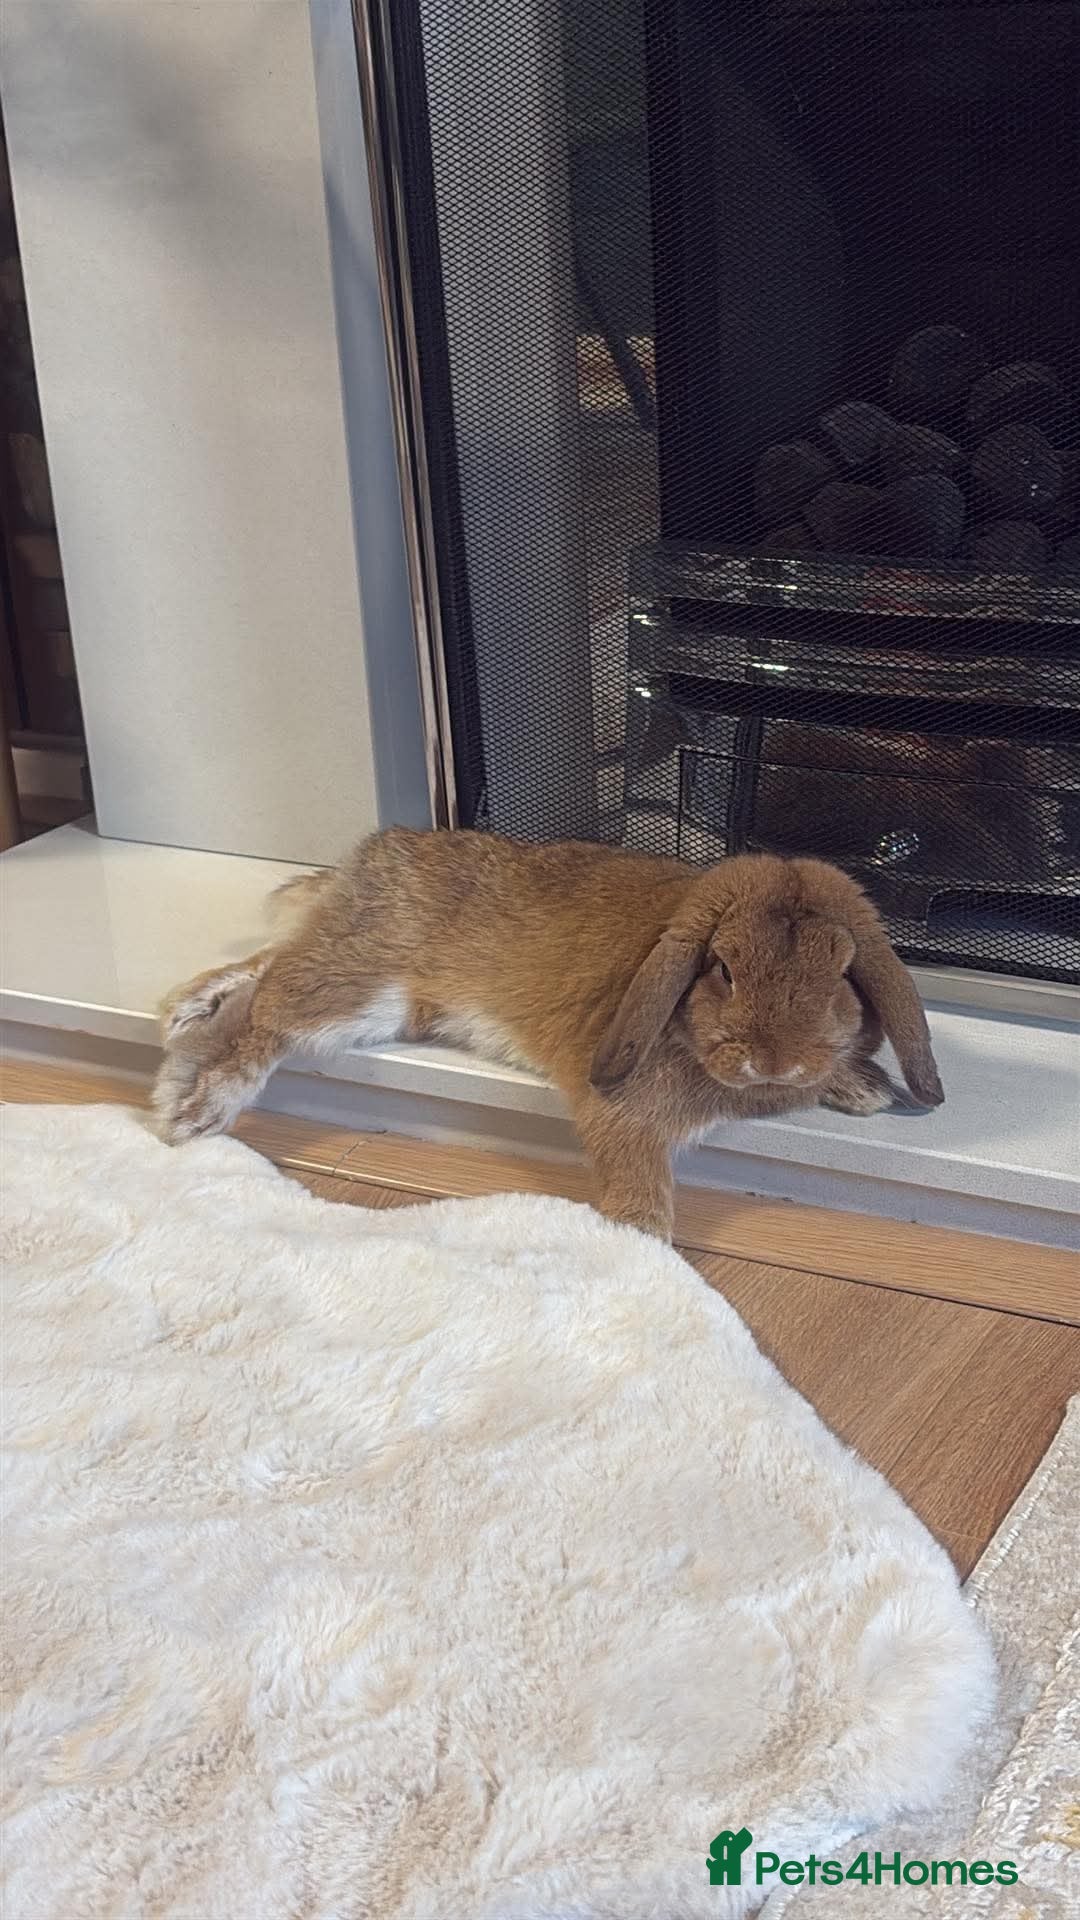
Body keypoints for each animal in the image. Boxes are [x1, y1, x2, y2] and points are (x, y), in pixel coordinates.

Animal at [152, 827, 943, 1239]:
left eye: (841, 972)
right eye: (721, 967)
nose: (774, 1060)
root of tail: (374, 852)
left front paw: (863, 1089)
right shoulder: (625, 1116)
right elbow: (642, 1188)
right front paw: (639, 1244)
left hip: (379, 995)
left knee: (272, 963)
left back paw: (185, 1012)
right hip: (361, 990)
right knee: (268, 1014)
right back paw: (190, 1107)